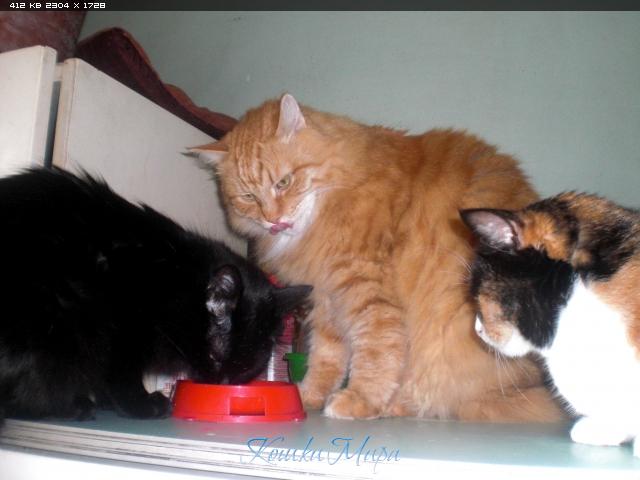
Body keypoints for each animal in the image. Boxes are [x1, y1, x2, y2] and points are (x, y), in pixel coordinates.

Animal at [0, 167, 311, 422]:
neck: (173, 282)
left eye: (244, 369)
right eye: (214, 357)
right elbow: (120, 376)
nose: (218, 384)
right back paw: (74, 407)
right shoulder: (124, 330)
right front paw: (138, 404)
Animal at [188, 93, 565, 421]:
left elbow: (376, 352)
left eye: (283, 182)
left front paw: (360, 400)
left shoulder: (367, 292)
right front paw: (307, 397)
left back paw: (393, 406)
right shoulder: (327, 302)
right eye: (249, 197)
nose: (273, 219)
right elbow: (326, 358)